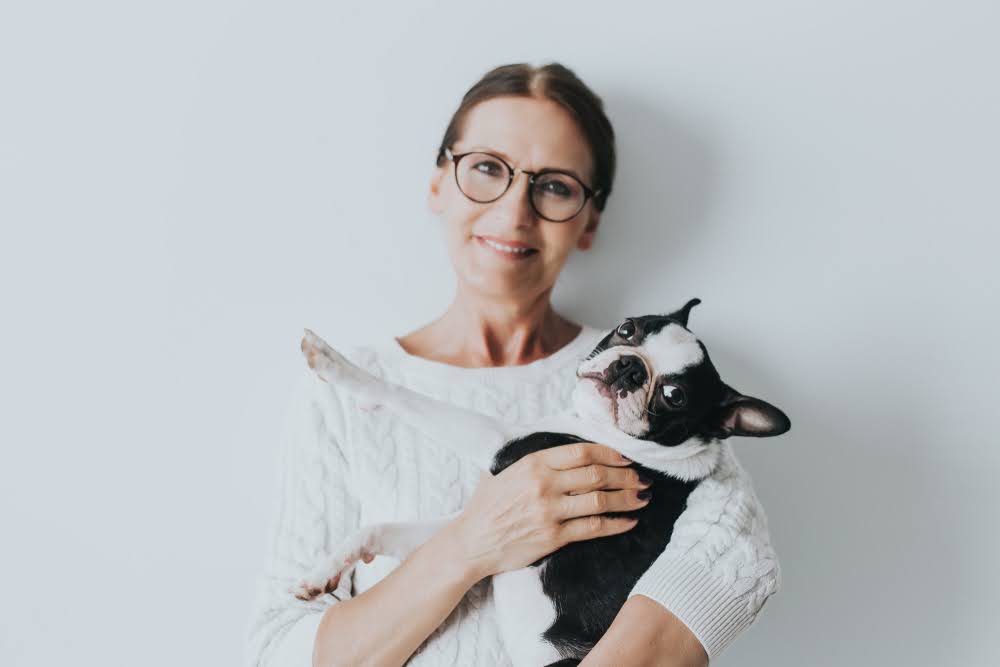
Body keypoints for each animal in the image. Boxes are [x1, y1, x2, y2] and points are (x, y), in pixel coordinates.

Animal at [292, 300, 792, 664]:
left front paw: (338, 366)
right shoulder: (477, 530)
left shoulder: (509, 446)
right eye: (627, 329)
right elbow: (384, 530)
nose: (630, 368)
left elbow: (414, 401)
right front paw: (325, 570)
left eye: (674, 396)